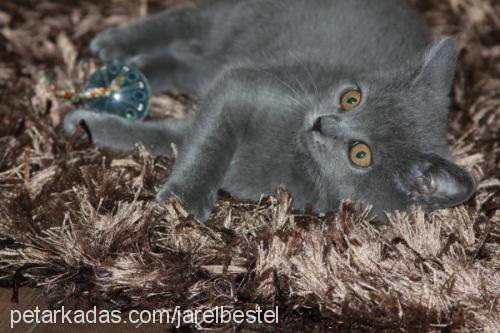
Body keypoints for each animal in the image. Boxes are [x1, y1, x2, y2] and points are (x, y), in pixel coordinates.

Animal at [63, 0, 476, 223]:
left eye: (361, 154)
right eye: (351, 99)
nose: (323, 122)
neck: (298, 158)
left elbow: (165, 136)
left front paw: (89, 123)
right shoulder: (245, 86)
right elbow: (207, 142)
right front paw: (186, 199)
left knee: (190, 62)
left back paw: (134, 70)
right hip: (239, 21)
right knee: (189, 19)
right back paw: (115, 45)